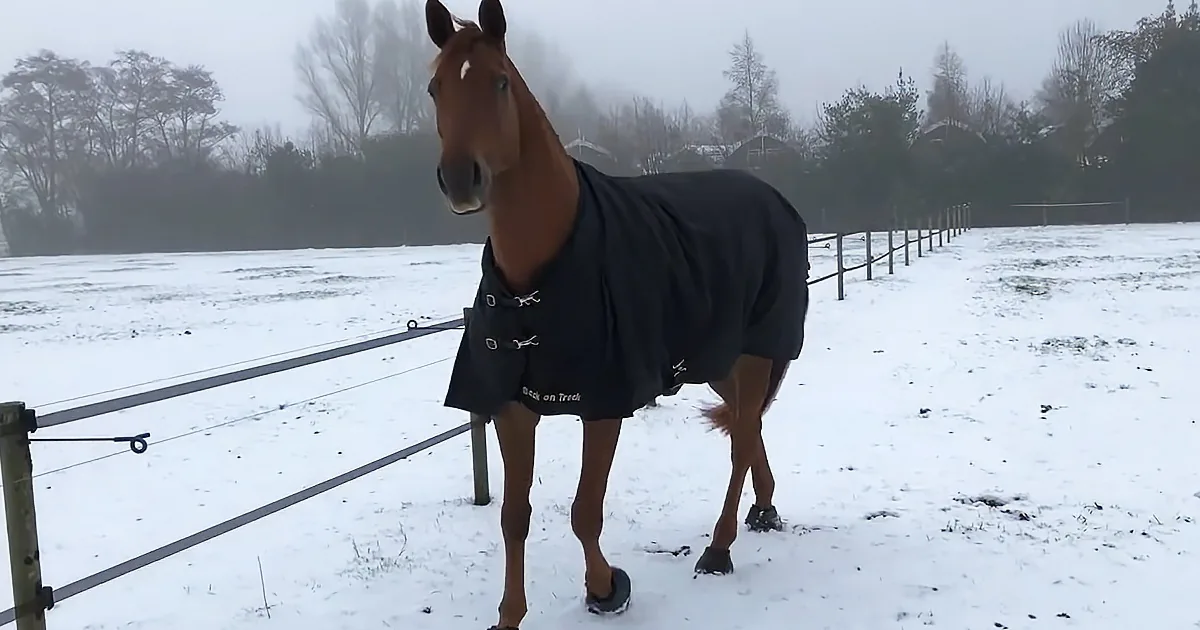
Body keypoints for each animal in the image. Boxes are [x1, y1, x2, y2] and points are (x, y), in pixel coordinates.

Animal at [424, 1, 810, 627]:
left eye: (499, 82)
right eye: (435, 88)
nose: (461, 179)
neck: (538, 282)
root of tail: (774, 197)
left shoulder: (604, 403)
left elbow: (584, 510)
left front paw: (606, 589)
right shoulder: (511, 406)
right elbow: (513, 516)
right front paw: (509, 615)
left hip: (755, 352)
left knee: (742, 437)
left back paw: (718, 549)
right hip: (718, 360)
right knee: (746, 427)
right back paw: (764, 510)